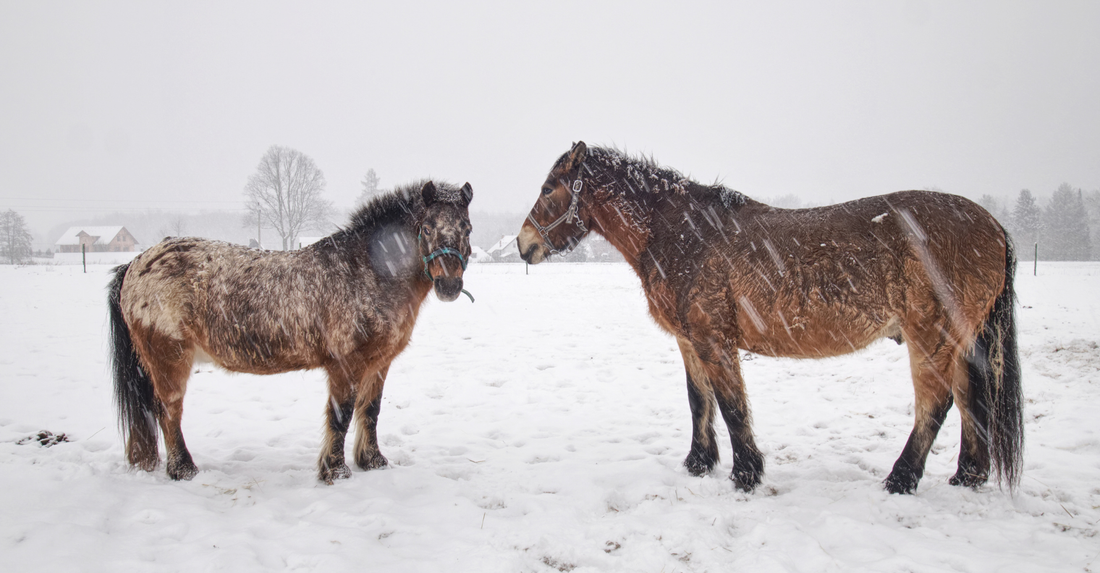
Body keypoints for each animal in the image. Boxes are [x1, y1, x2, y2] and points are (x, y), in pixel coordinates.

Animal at [108, 180, 474, 483]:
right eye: (426, 227)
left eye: (467, 228)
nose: (449, 285)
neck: (366, 272)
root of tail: (136, 263)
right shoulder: (346, 365)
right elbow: (341, 416)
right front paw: (335, 471)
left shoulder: (378, 364)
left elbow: (370, 412)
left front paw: (372, 461)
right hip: (170, 359)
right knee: (168, 411)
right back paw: (184, 469)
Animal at [518, 142, 1023, 495]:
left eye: (547, 189)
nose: (524, 244)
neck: (684, 234)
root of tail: (993, 225)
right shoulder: (689, 340)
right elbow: (699, 402)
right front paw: (699, 463)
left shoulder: (714, 339)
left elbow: (731, 406)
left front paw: (746, 473)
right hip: (959, 339)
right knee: (971, 399)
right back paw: (968, 475)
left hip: (931, 337)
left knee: (936, 405)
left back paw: (901, 479)